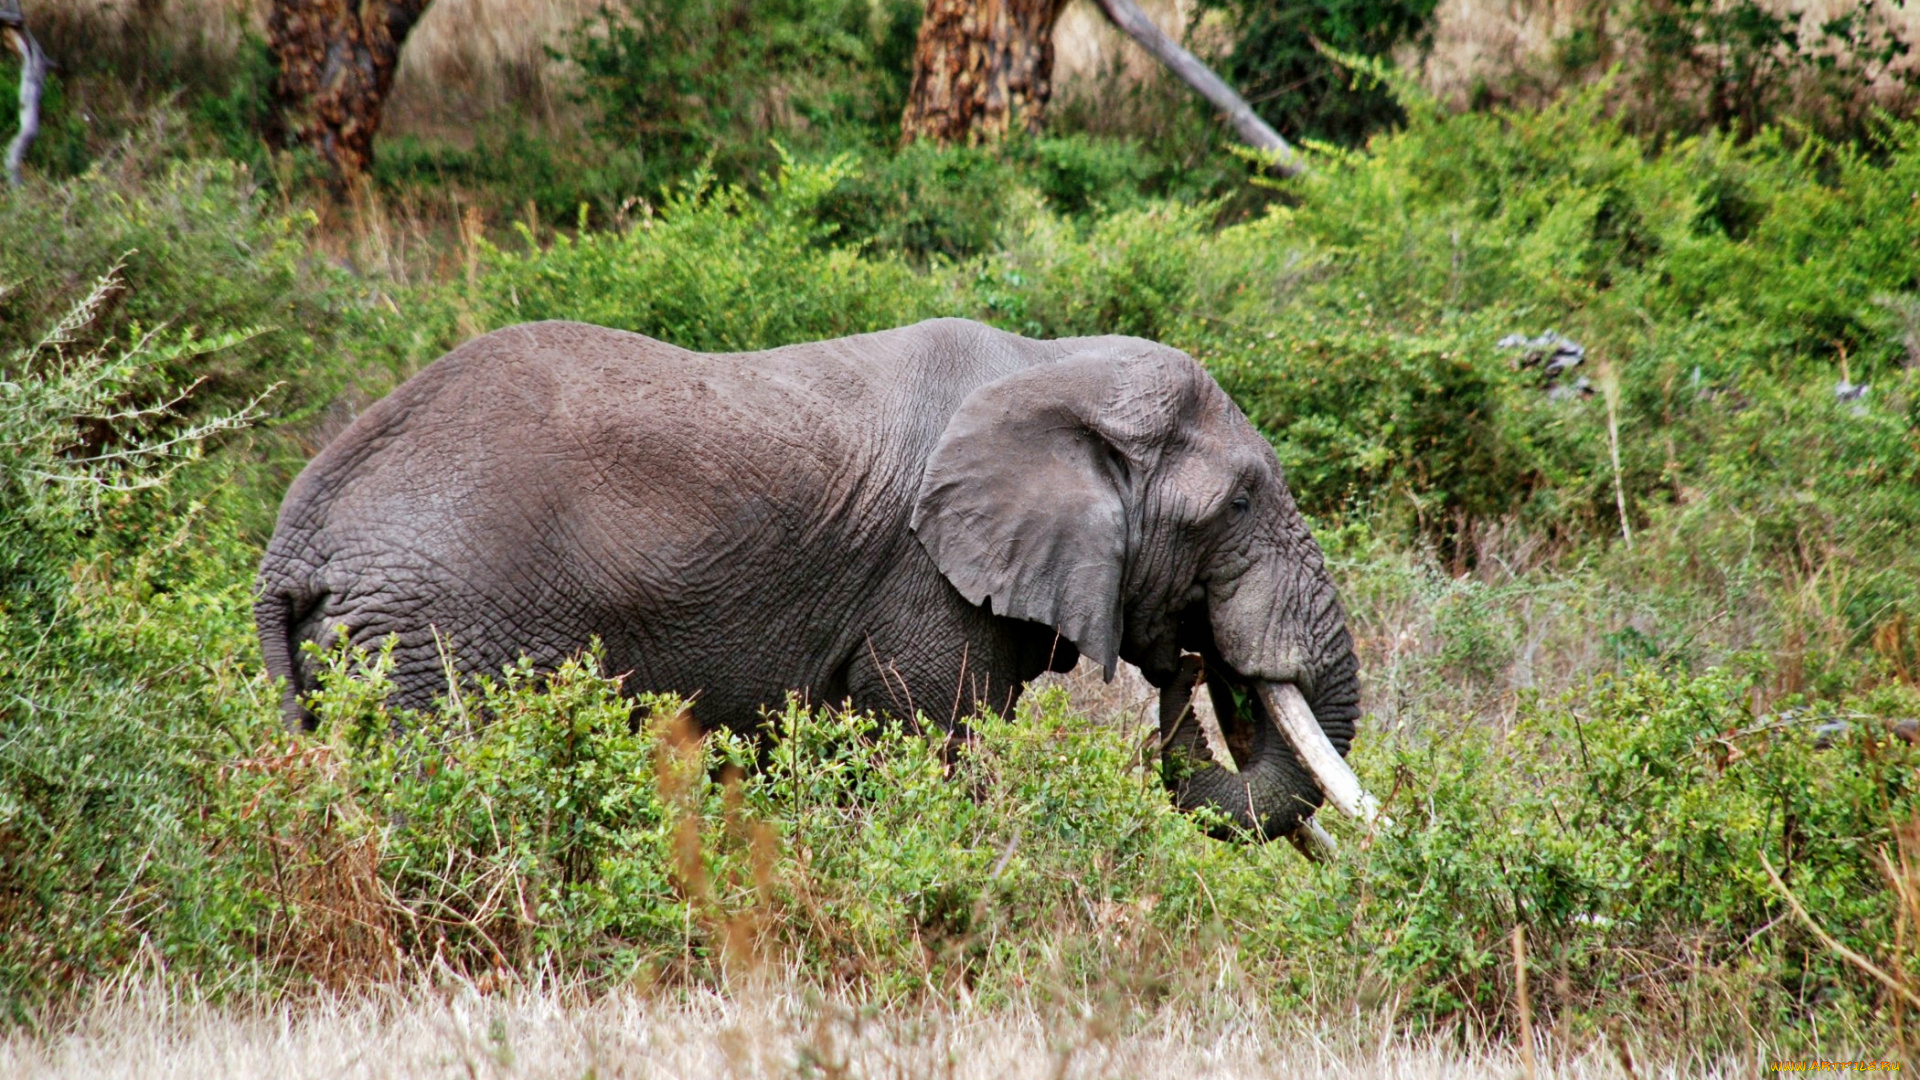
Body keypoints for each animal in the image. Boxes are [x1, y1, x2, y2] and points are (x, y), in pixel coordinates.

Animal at [259, 315, 1382, 845]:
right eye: (1240, 504)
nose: (1194, 664)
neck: (1053, 361)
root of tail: (294, 537)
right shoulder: (927, 583)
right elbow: (935, 743)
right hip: (430, 631)